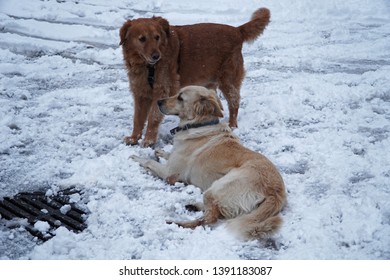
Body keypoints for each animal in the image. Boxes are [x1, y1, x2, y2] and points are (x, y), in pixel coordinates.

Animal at [119, 7, 272, 147]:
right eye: (142, 39)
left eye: (157, 37)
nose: (156, 56)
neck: (147, 66)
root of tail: (237, 30)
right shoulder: (140, 92)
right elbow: (138, 118)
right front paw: (134, 138)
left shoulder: (162, 89)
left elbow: (153, 116)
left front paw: (149, 140)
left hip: (228, 81)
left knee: (234, 104)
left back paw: (232, 125)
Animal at [132, 86, 286, 240]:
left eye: (180, 98)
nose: (158, 102)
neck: (198, 124)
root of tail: (276, 193)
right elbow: (167, 154)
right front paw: (159, 151)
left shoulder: (170, 173)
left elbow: (148, 161)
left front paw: (135, 157)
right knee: (216, 212)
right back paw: (193, 206)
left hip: (217, 187)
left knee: (209, 218)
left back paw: (177, 223)